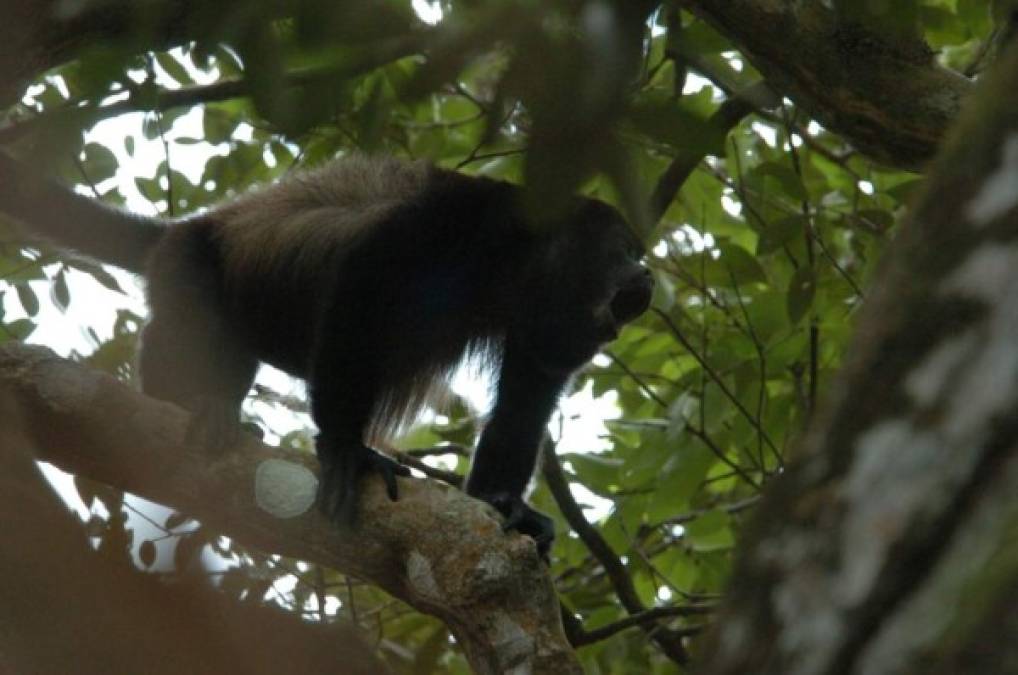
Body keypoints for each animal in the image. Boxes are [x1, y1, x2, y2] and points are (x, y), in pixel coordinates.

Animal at [0, 152, 651, 553]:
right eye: (623, 248)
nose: (645, 275)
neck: (518, 267)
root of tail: (180, 228)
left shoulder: (540, 319)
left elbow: (526, 396)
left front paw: (504, 503)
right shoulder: (459, 218)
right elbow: (365, 283)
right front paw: (345, 447)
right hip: (188, 263)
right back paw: (194, 406)